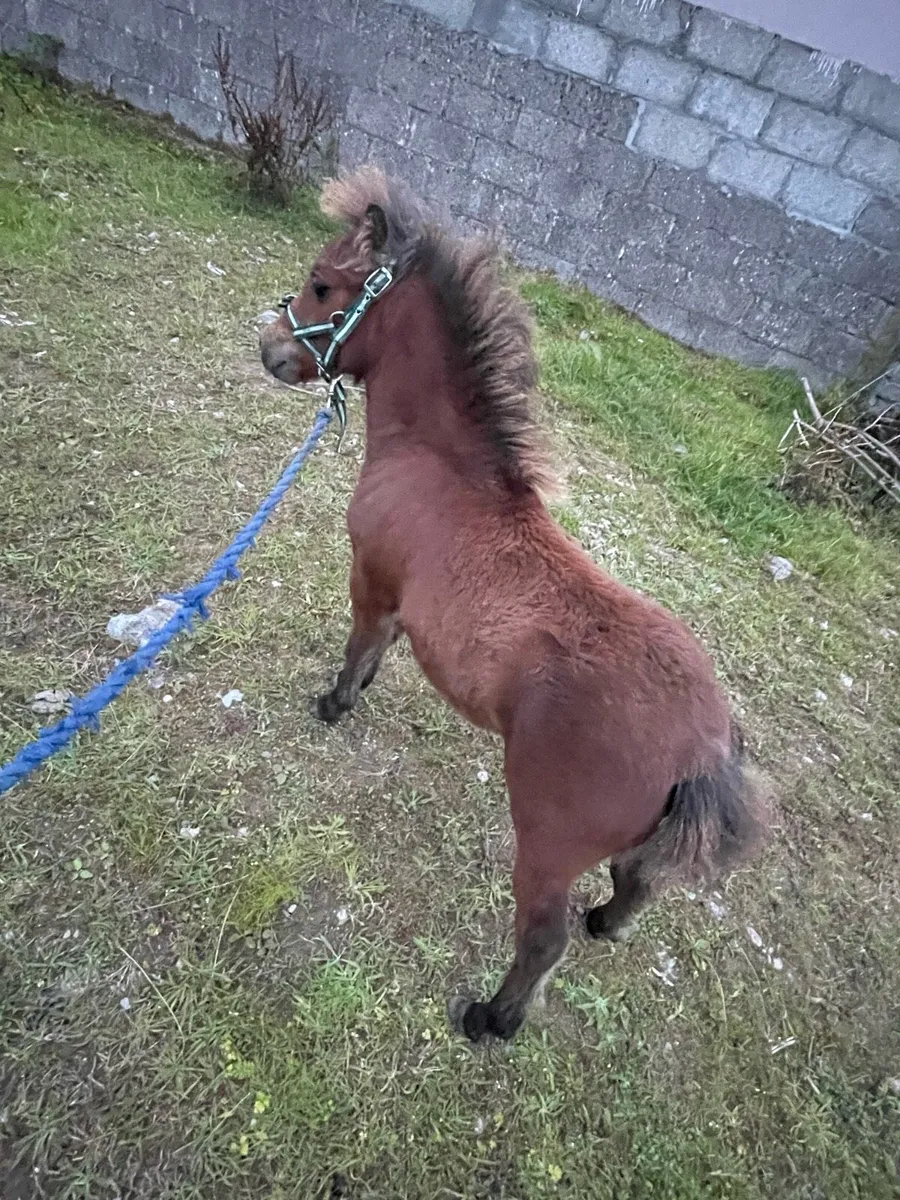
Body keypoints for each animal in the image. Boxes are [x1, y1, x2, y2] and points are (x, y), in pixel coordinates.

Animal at [259, 167, 771, 1043]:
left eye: (323, 283)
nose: (270, 350)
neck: (441, 467)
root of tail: (700, 750)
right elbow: (384, 646)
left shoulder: (370, 575)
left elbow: (361, 642)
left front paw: (334, 703)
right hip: (627, 846)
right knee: (636, 884)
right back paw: (606, 924)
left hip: (546, 841)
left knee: (543, 938)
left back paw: (492, 1019)